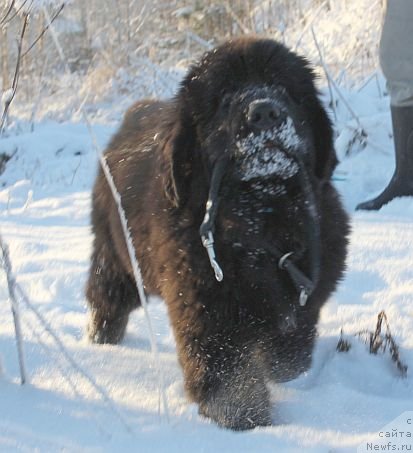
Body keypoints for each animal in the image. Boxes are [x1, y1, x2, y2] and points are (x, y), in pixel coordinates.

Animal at [85, 37, 350, 430]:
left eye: (285, 89)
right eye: (225, 96)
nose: (264, 112)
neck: (260, 220)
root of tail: (134, 113)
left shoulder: (305, 296)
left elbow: (290, 355)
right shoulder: (205, 305)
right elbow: (227, 371)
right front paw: (245, 418)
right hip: (117, 254)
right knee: (107, 295)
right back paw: (101, 338)